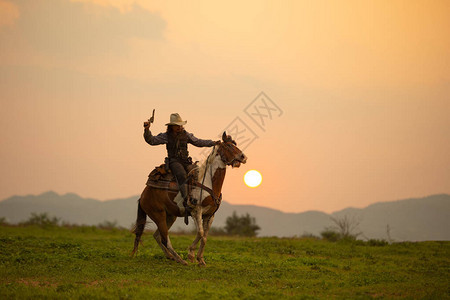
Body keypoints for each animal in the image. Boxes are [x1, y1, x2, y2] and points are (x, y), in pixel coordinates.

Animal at [132, 131, 248, 264]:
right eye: (229, 146)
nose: (243, 157)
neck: (208, 182)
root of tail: (143, 195)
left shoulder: (210, 215)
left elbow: (204, 237)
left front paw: (201, 260)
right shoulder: (196, 211)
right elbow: (200, 233)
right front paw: (191, 254)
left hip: (170, 216)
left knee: (157, 236)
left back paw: (171, 257)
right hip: (158, 215)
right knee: (165, 238)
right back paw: (180, 260)